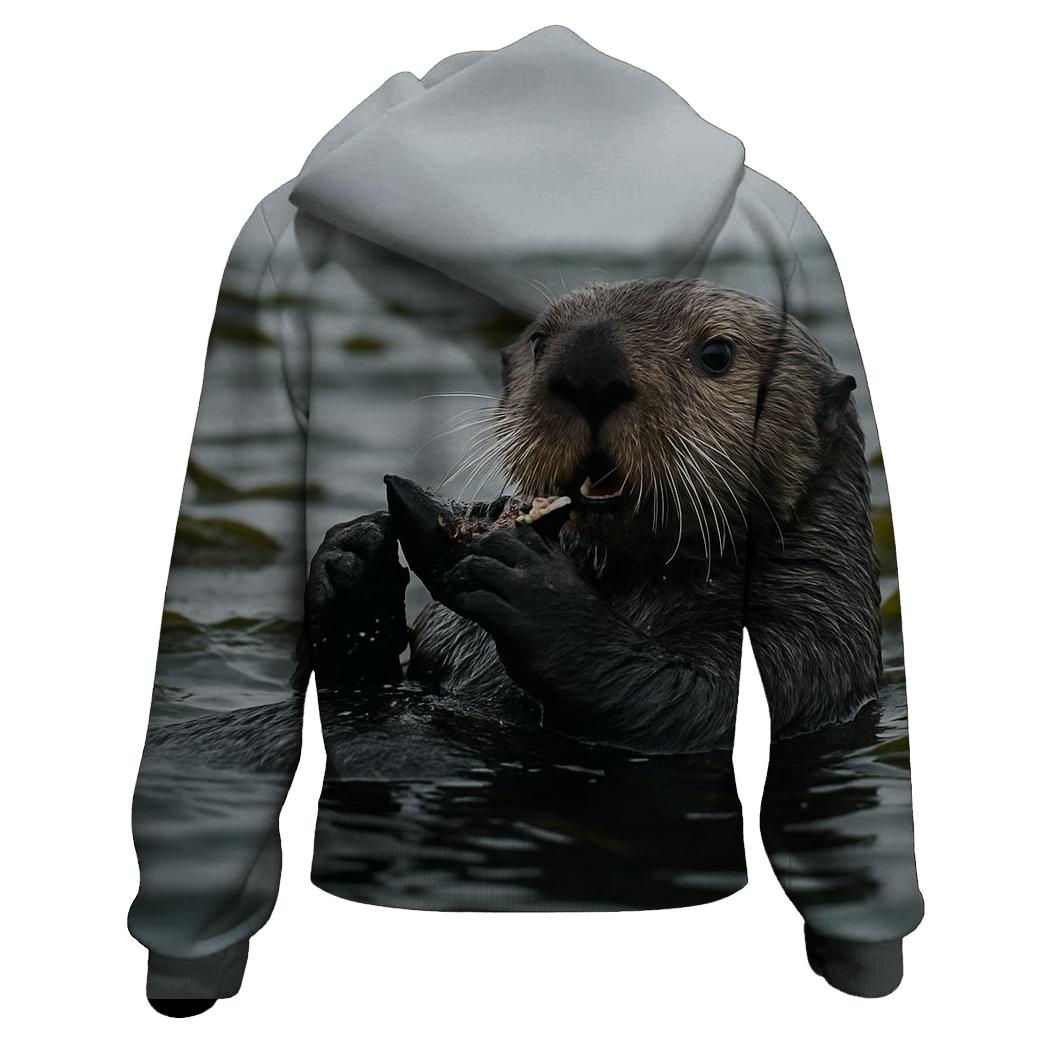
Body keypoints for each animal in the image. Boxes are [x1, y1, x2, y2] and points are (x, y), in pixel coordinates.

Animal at [304, 277, 881, 755]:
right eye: (539, 342)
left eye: (717, 353)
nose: (589, 375)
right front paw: (352, 559)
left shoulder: (806, 641)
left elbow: (692, 701)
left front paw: (535, 585)